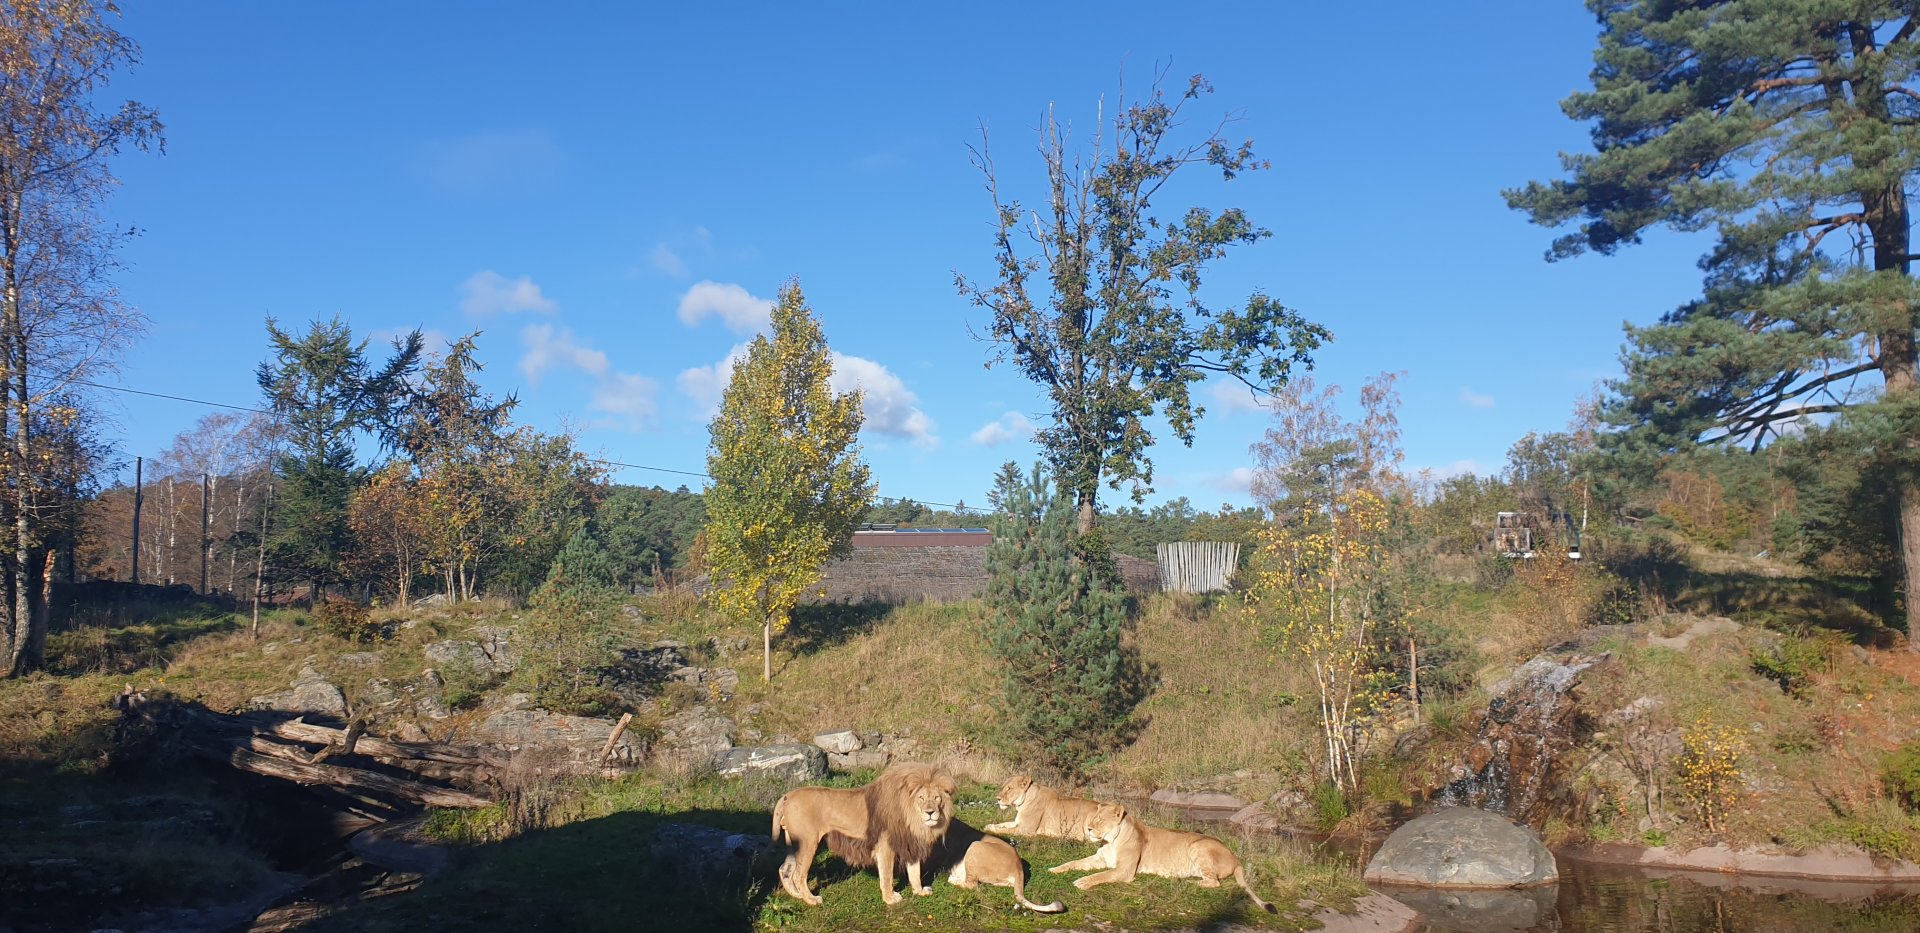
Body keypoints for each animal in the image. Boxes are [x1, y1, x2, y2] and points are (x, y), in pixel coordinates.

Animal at [770, 762, 955, 906]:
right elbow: (887, 875)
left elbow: (915, 872)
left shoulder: (910, 844)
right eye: (921, 798)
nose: (930, 813)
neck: (914, 820)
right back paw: (811, 900)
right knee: (798, 875)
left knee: (785, 869)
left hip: (794, 844)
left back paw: (797, 896)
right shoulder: (885, 847)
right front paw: (890, 899)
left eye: (937, 798)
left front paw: (919, 891)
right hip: (808, 842)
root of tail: (787, 795)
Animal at [1048, 802, 1275, 913]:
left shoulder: (1125, 870)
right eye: (1093, 818)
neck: (1110, 841)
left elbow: (1101, 876)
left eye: (1100, 820)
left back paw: (1185, 882)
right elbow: (1073, 863)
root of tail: (1235, 857)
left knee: (1213, 882)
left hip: (1198, 846)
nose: (1088, 828)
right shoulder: (1100, 860)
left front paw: (1082, 882)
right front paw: (1054, 869)